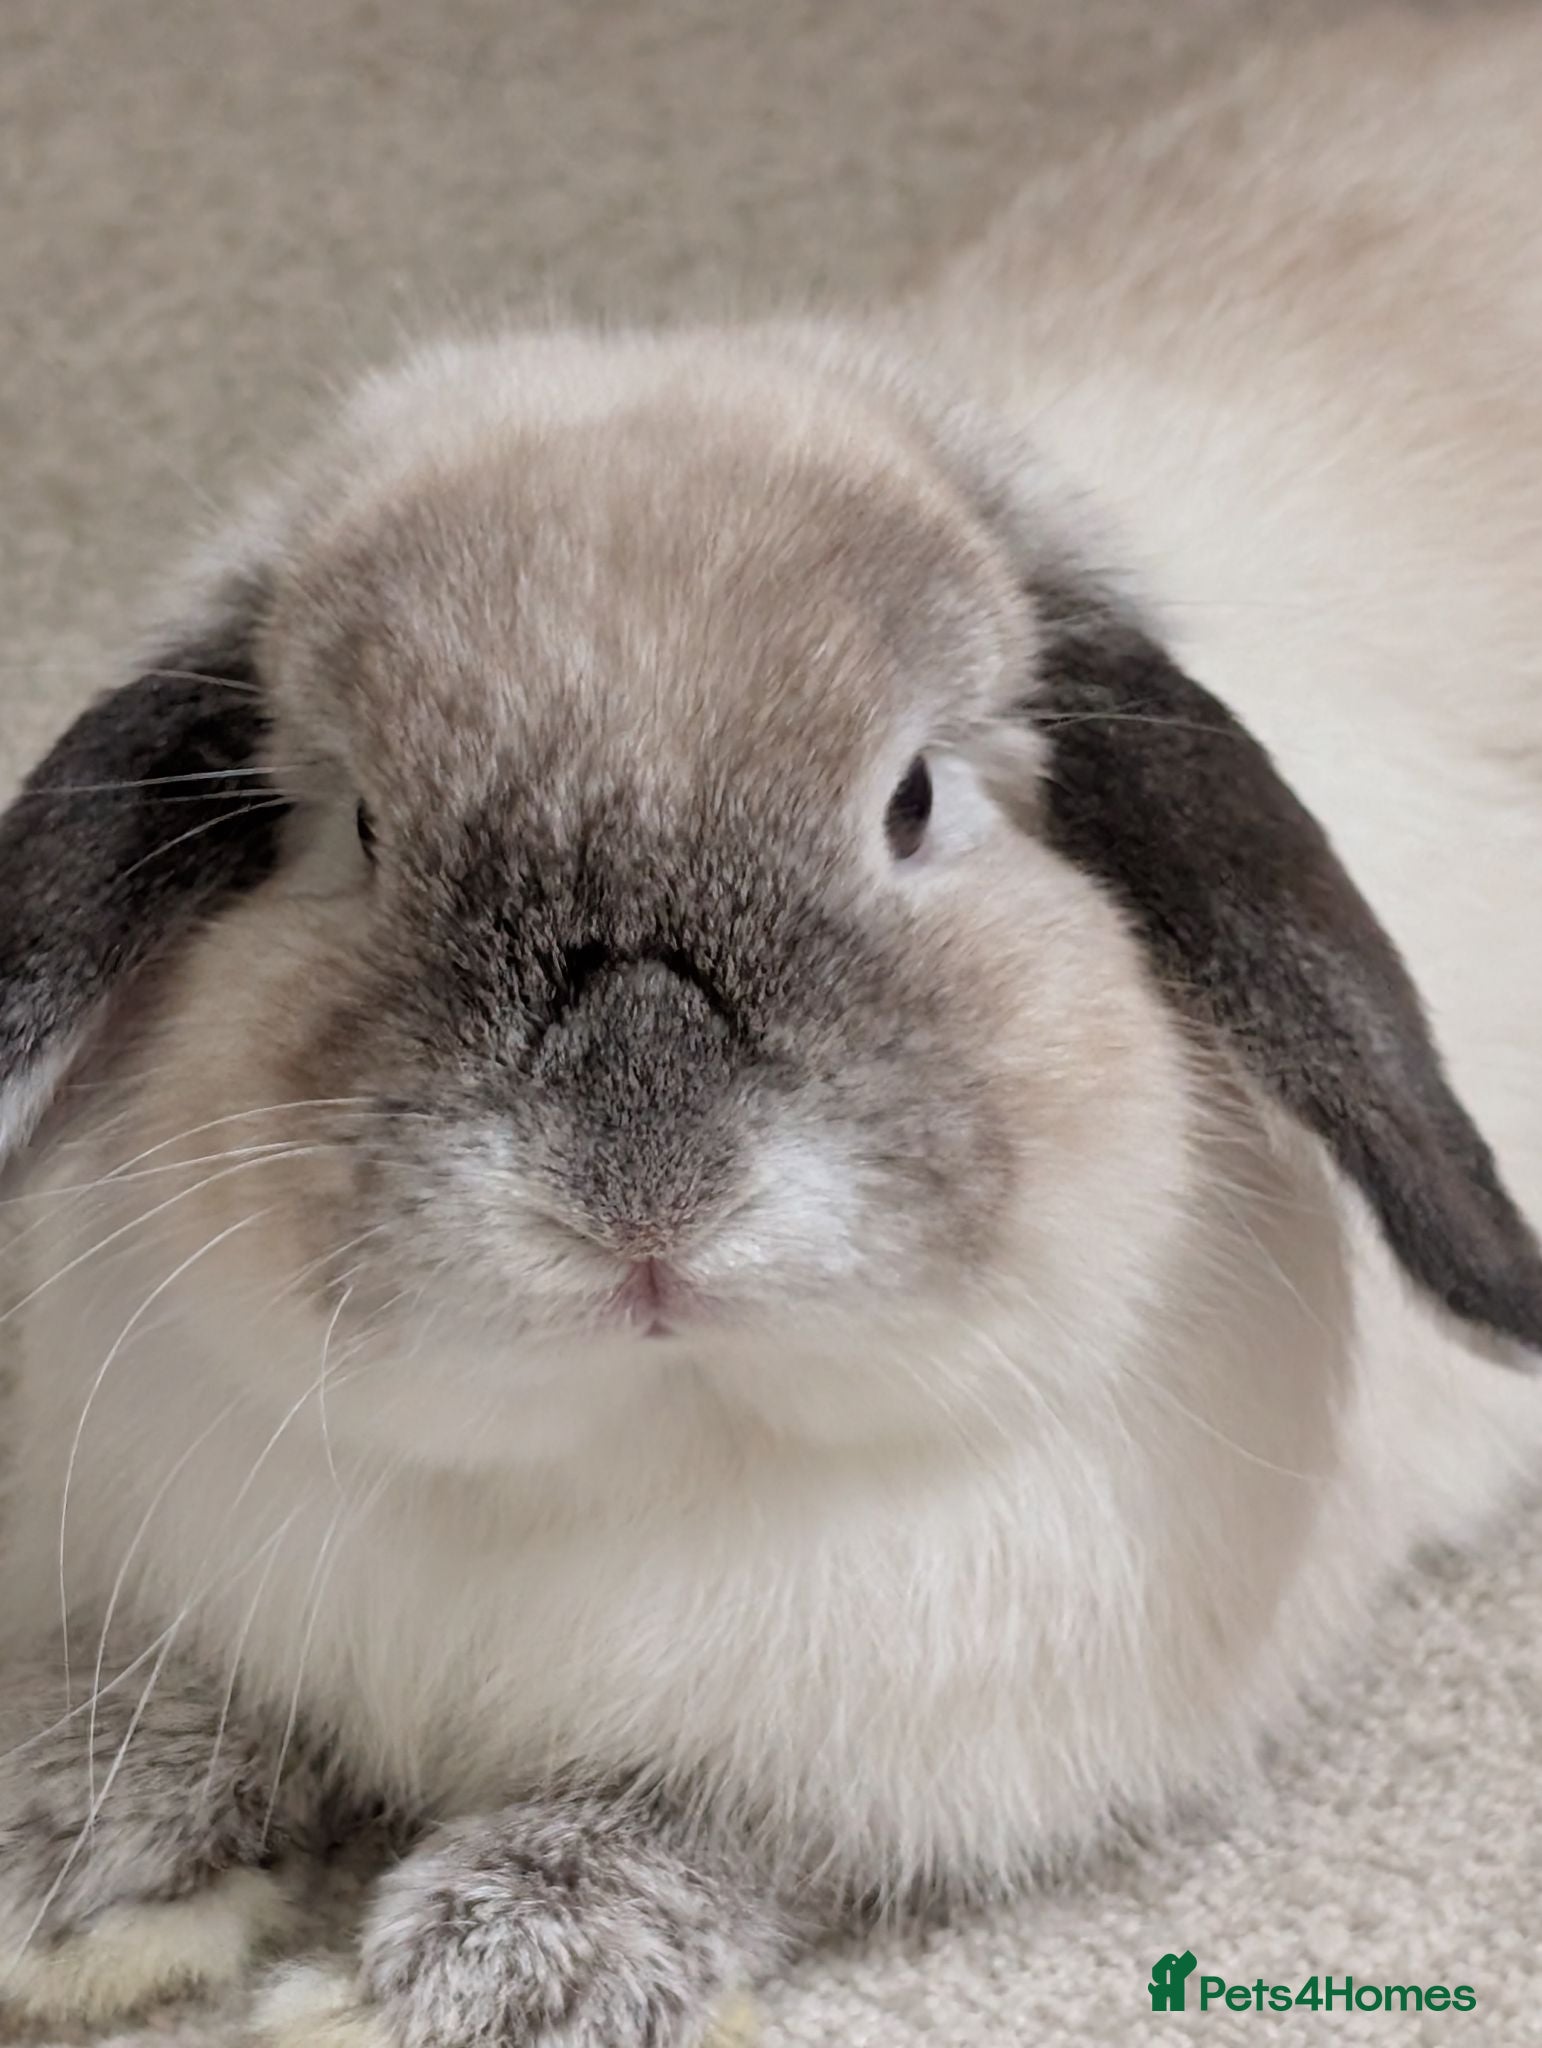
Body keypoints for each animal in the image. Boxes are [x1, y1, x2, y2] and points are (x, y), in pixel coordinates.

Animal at [3, 12, 1542, 2047]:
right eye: (357, 833)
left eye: (912, 802)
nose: (641, 1184)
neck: (632, 1454)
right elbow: (163, 1698)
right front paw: (63, 1875)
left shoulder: (884, 1749)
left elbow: (681, 1825)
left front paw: (455, 1979)